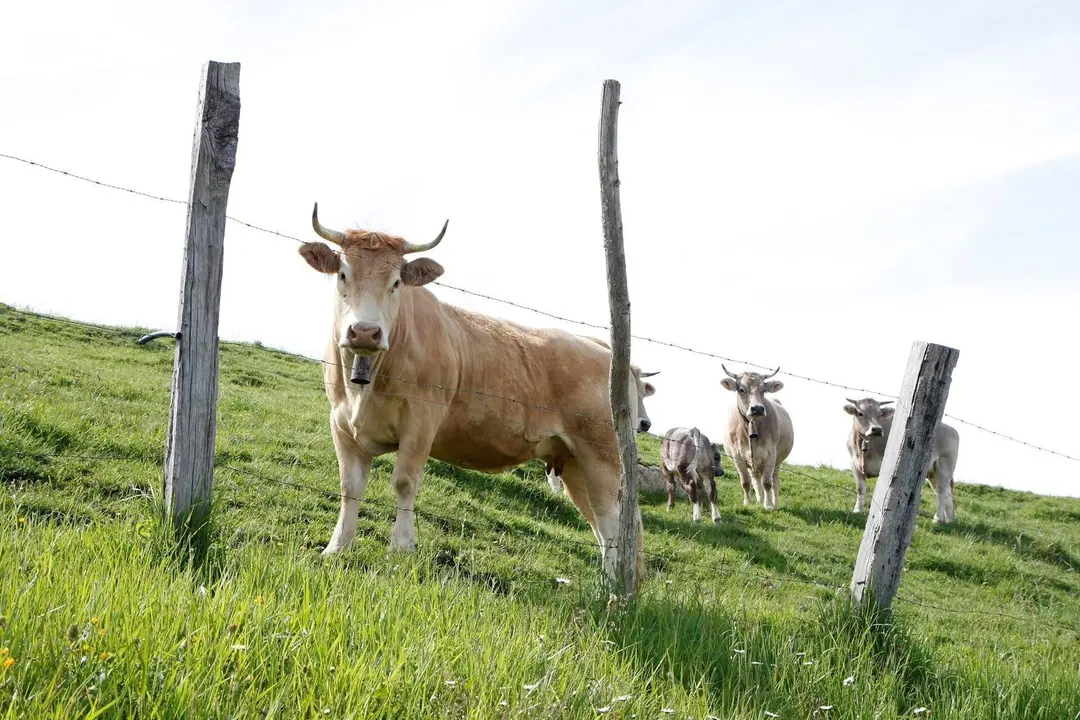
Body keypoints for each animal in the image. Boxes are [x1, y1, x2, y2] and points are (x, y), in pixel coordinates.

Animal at [298, 204, 647, 588]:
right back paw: (612, 583)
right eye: (343, 274)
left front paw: (401, 549)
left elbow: (404, 482)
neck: (366, 383)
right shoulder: (341, 423)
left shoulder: (421, 421)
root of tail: (604, 349)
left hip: (603, 455)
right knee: (600, 522)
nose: (365, 331)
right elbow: (349, 487)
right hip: (573, 463)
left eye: (396, 283)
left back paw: (616, 587)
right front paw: (336, 548)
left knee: (614, 519)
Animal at [720, 365, 794, 510]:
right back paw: (759, 501)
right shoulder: (737, 456)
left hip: (777, 462)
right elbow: (745, 482)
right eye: (741, 389)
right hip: (752, 464)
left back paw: (774, 503)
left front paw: (769, 505)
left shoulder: (771, 454)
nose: (758, 409)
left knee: (774, 482)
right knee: (755, 480)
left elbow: (767, 482)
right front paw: (747, 503)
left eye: (764, 390)